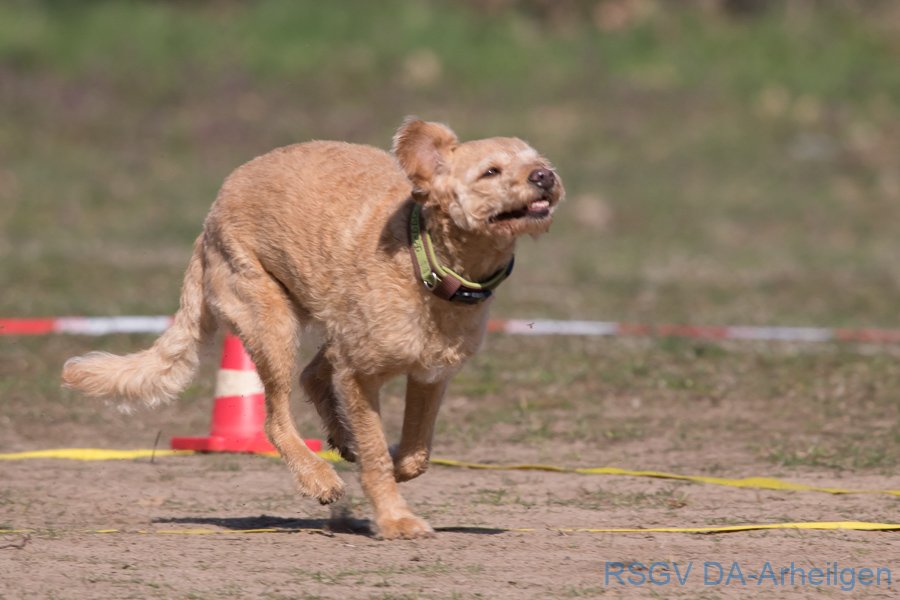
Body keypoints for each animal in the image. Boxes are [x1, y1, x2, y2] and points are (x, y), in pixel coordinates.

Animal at [62, 118, 564, 539]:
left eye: (536, 160)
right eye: (491, 172)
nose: (545, 176)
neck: (425, 260)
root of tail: (207, 223)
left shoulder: (429, 373)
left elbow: (416, 451)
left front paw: (392, 463)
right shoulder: (361, 374)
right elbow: (376, 454)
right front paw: (395, 518)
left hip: (328, 320)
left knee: (313, 374)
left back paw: (341, 438)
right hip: (269, 320)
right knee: (276, 416)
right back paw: (318, 477)